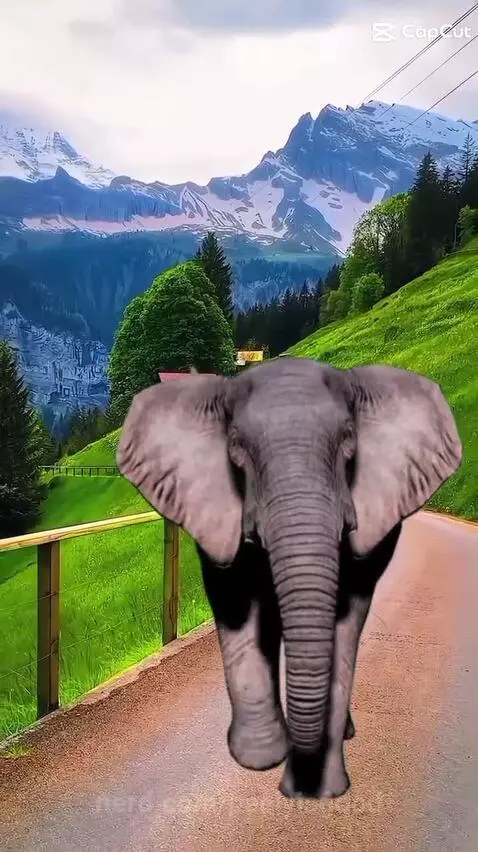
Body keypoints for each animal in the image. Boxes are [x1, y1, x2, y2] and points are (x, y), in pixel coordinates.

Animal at [116, 356, 462, 799]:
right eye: (235, 444)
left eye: (349, 438)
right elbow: (238, 608)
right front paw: (260, 760)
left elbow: (344, 626)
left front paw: (319, 790)